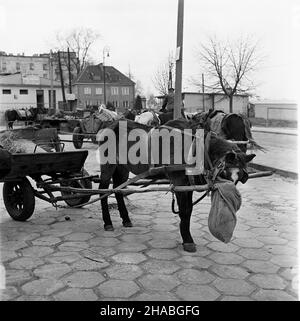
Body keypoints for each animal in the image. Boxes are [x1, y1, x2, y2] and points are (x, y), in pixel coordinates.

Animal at [96, 117, 255, 252]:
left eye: (239, 178)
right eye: (224, 174)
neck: (195, 148)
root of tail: (108, 125)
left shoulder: (188, 184)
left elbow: (189, 210)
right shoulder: (179, 182)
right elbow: (184, 210)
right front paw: (187, 240)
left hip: (122, 167)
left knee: (118, 189)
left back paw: (126, 219)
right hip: (108, 164)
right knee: (103, 190)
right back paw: (107, 222)